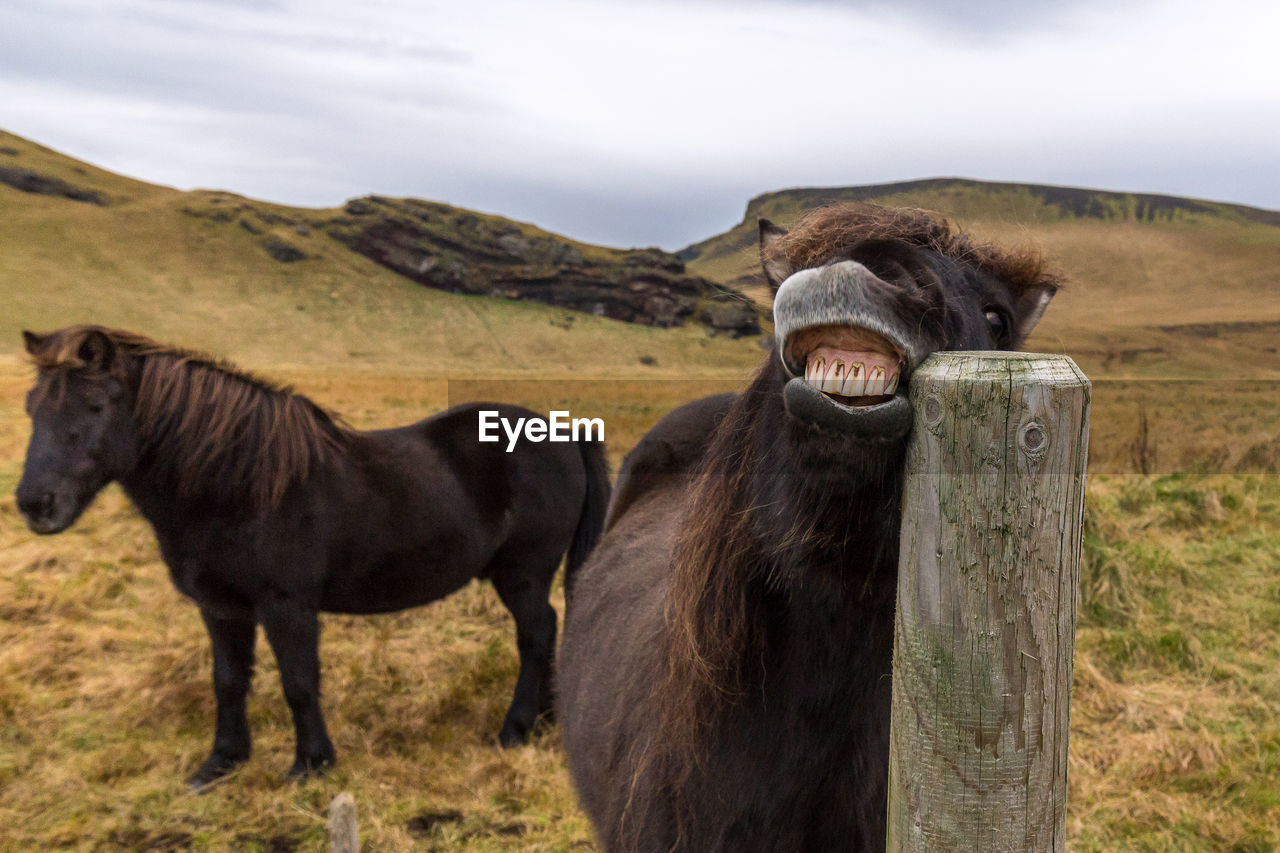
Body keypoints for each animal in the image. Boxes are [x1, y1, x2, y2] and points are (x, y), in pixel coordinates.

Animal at [17, 324, 609, 783]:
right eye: (30, 409)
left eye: (95, 405)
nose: (34, 504)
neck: (237, 484)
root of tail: (563, 431)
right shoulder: (221, 608)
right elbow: (228, 680)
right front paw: (221, 764)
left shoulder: (288, 605)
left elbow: (299, 682)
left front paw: (311, 766)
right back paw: (545, 721)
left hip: (523, 573)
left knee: (536, 634)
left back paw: (516, 729)